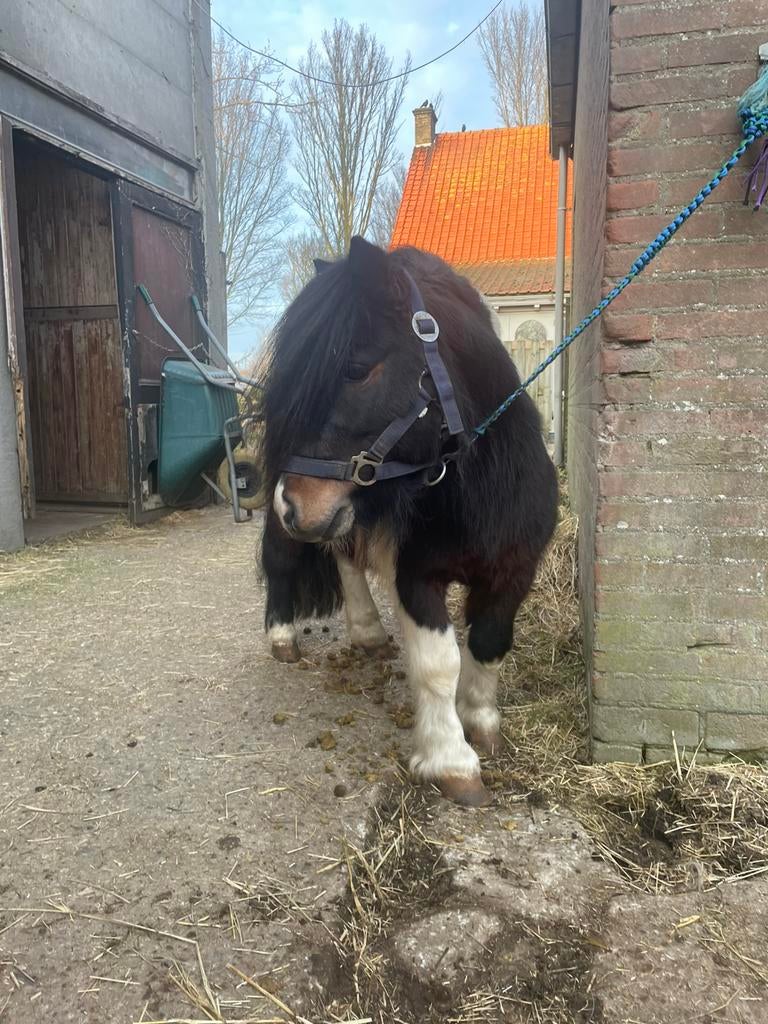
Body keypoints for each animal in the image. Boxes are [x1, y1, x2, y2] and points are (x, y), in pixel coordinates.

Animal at [259, 236, 558, 807]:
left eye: (355, 369)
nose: (293, 505)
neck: (477, 488)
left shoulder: (514, 571)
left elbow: (489, 643)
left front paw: (481, 720)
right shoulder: (417, 576)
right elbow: (439, 664)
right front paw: (452, 761)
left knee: (344, 556)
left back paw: (368, 631)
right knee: (284, 562)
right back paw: (283, 637)